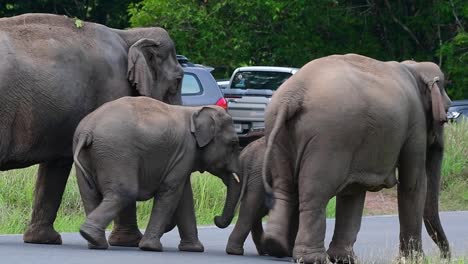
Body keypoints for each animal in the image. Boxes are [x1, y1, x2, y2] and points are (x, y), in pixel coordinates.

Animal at [0, 13, 185, 244]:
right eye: (178, 80)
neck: (127, 35)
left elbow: (57, 164)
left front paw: (43, 240)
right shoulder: (113, 91)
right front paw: (129, 242)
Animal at [73, 97, 241, 252]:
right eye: (233, 144)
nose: (216, 218)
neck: (195, 111)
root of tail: (87, 130)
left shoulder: (182, 157)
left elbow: (184, 196)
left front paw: (194, 249)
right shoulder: (185, 151)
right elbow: (171, 191)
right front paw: (151, 248)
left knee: (89, 194)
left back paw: (94, 242)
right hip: (116, 153)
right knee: (125, 192)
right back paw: (91, 236)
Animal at [262, 54, 452, 264]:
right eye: (446, 113)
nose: (446, 257)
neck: (413, 68)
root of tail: (293, 95)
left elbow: (353, 190)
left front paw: (343, 258)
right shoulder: (415, 123)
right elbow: (413, 184)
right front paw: (415, 260)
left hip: (278, 132)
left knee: (284, 187)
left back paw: (275, 246)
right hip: (328, 139)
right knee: (315, 193)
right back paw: (312, 258)